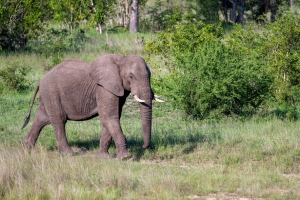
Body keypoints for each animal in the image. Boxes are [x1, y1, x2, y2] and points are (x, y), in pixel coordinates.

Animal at [21, 54, 163, 160]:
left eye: (150, 76)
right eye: (131, 76)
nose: (144, 147)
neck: (122, 58)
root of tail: (40, 80)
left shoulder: (117, 89)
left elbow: (112, 118)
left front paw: (104, 157)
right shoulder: (104, 88)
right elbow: (109, 118)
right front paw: (126, 158)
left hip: (48, 95)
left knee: (42, 118)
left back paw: (27, 148)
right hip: (52, 93)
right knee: (58, 119)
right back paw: (69, 154)